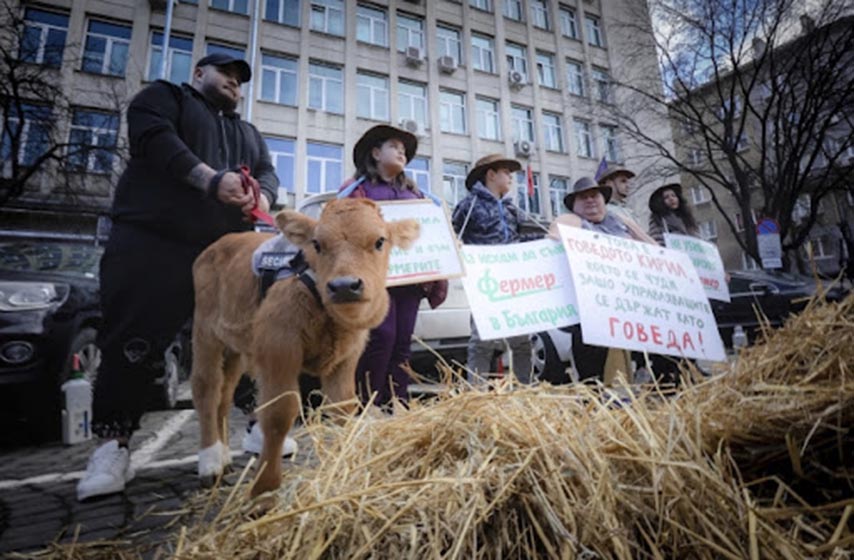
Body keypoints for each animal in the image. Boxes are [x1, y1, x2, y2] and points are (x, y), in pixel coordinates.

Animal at [192, 199, 422, 496]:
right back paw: (210, 464)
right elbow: (280, 413)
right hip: (205, 333)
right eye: (317, 244)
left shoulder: (346, 358)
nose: (345, 286)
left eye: (380, 241)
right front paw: (265, 487)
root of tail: (220, 243)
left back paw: (223, 457)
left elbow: (342, 407)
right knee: (206, 388)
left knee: (224, 393)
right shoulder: (278, 347)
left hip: (235, 348)